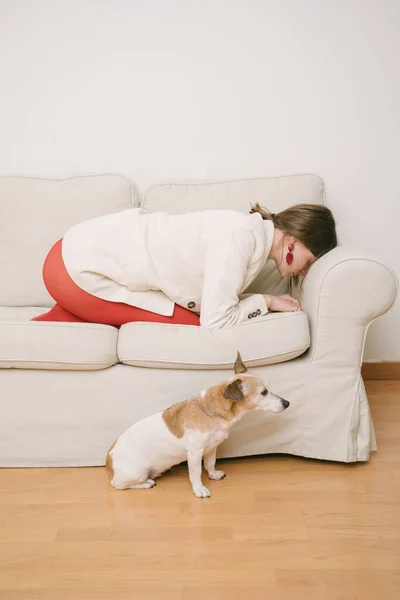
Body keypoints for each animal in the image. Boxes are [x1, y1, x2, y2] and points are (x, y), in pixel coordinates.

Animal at [104, 352, 290, 496]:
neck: (210, 411)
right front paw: (199, 489)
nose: (287, 403)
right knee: (118, 485)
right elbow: (196, 473)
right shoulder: (194, 453)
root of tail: (108, 460)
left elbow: (210, 463)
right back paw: (146, 483)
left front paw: (213, 474)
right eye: (264, 392)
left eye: (268, 388)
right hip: (138, 472)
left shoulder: (212, 448)